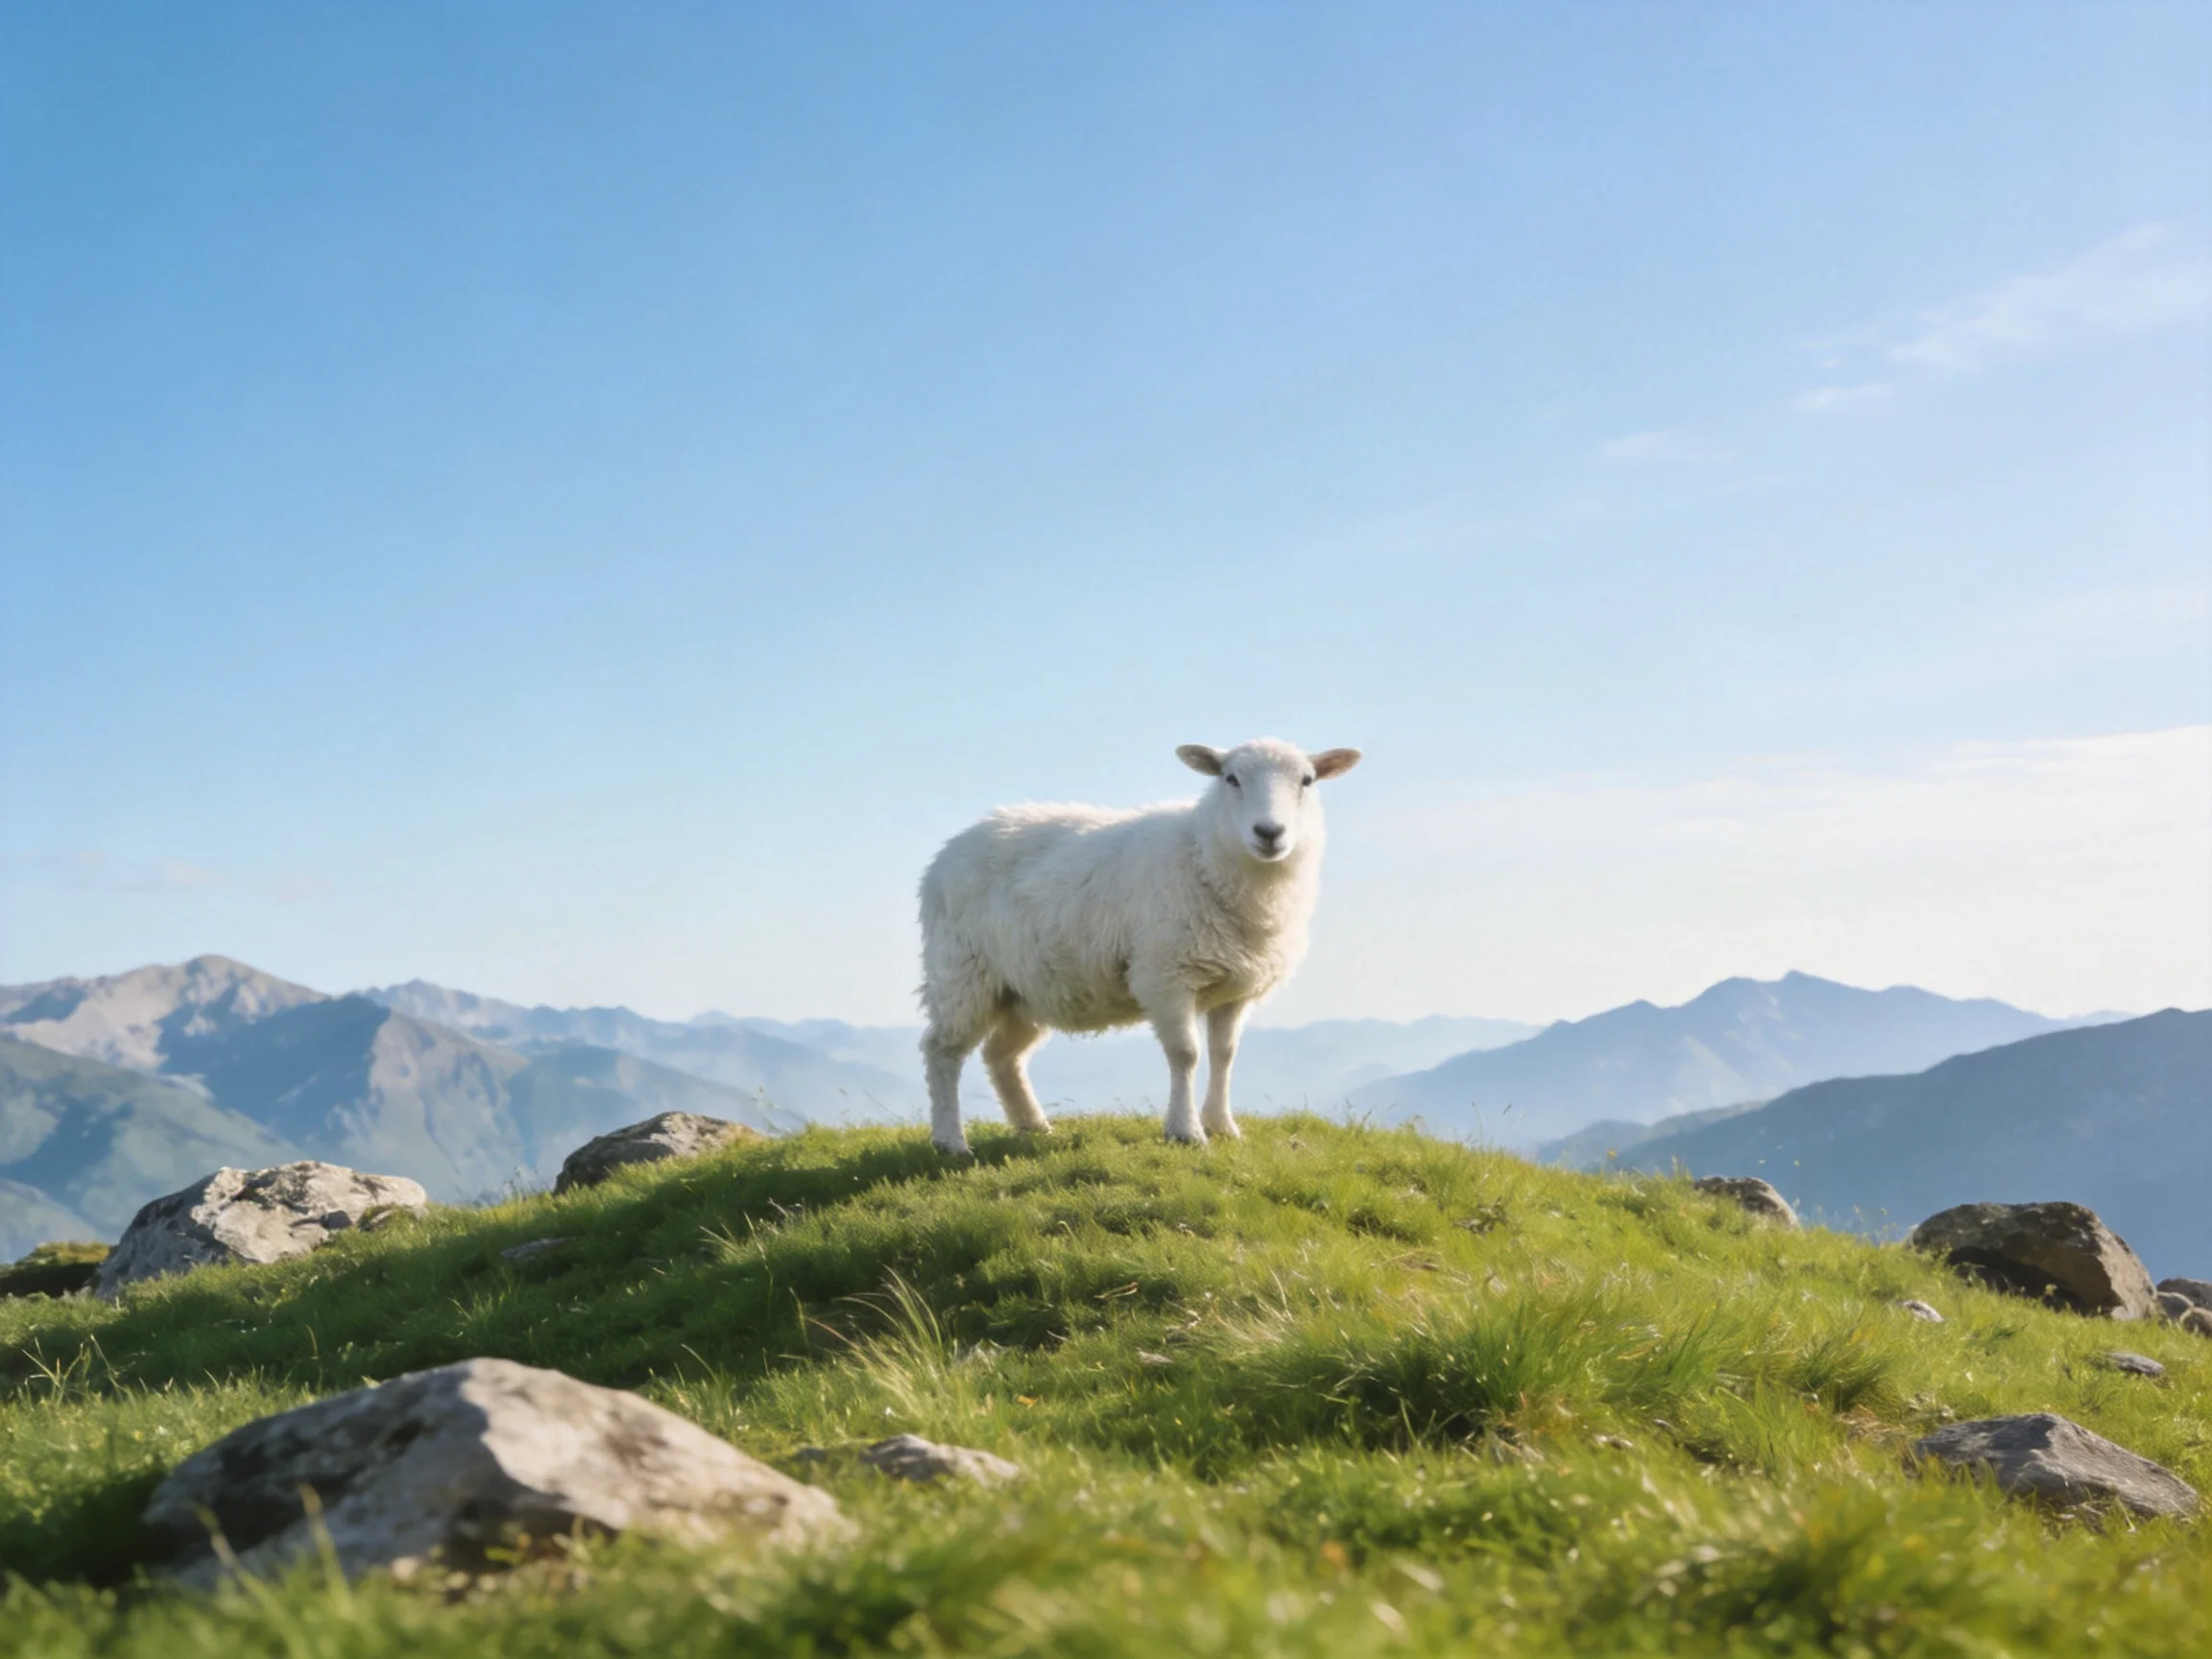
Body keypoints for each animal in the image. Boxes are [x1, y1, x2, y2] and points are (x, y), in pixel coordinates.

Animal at [917, 738, 1362, 1154]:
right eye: (1231, 778)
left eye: (1307, 780)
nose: (1269, 833)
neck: (1203, 853)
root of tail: (946, 853)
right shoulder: (1165, 974)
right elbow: (1186, 1054)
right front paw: (1186, 1131)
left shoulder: (1235, 988)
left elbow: (1225, 1054)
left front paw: (1223, 1127)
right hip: (962, 972)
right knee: (942, 1051)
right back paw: (950, 1140)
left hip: (1026, 989)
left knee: (1002, 1056)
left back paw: (1034, 1126)